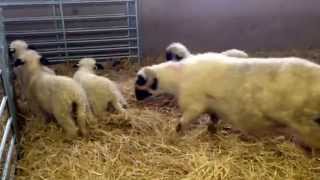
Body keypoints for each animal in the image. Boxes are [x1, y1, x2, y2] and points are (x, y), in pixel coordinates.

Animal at [135, 53, 320, 149]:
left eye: (139, 82)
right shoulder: (212, 108)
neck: (178, 77)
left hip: (304, 123)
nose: (136, 98)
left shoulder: (193, 106)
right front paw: (212, 134)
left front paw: (174, 138)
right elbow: (212, 121)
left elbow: (181, 124)